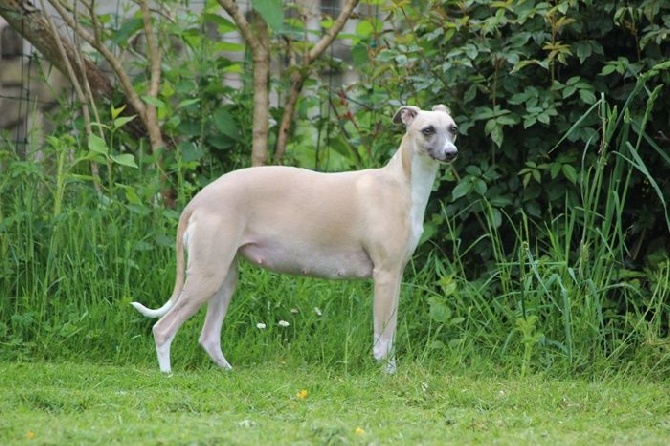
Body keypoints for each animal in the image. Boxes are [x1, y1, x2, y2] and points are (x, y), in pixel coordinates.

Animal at [135, 104, 462, 372]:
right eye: (427, 130)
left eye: (453, 129)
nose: (452, 153)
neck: (400, 184)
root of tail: (198, 200)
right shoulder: (386, 275)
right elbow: (385, 338)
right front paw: (387, 375)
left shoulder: (394, 274)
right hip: (207, 274)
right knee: (163, 328)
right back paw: (167, 374)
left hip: (224, 277)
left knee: (208, 337)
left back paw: (227, 370)